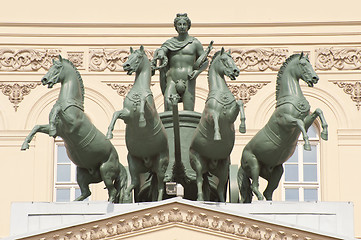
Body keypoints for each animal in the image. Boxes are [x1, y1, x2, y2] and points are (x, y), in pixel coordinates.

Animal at [21, 55, 126, 202]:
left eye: (57, 67)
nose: (44, 79)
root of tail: (119, 164)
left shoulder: (71, 125)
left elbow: (58, 110)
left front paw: (52, 122)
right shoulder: (60, 130)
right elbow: (37, 127)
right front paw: (26, 143)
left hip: (105, 170)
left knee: (113, 192)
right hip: (82, 174)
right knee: (86, 192)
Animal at [105, 46, 169, 202]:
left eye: (138, 57)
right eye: (127, 57)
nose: (126, 66)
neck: (138, 90)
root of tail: (148, 163)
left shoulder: (150, 114)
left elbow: (144, 103)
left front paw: (141, 120)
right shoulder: (127, 115)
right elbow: (116, 113)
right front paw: (109, 133)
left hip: (161, 165)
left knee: (160, 185)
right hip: (133, 164)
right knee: (133, 183)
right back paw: (126, 195)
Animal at [188, 47, 245, 202]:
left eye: (233, 59)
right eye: (224, 60)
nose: (236, 71)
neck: (222, 94)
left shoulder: (230, 116)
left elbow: (239, 103)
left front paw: (242, 127)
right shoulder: (210, 114)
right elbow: (215, 119)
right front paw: (218, 136)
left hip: (223, 169)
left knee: (219, 188)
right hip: (198, 163)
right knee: (199, 180)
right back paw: (200, 198)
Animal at [238, 53, 328, 202]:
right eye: (303, 64)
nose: (315, 78)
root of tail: (240, 166)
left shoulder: (307, 120)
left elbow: (318, 111)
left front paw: (325, 132)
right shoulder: (286, 121)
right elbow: (299, 123)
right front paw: (307, 144)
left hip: (277, 171)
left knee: (268, 191)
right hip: (253, 164)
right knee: (255, 186)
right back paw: (260, 198)